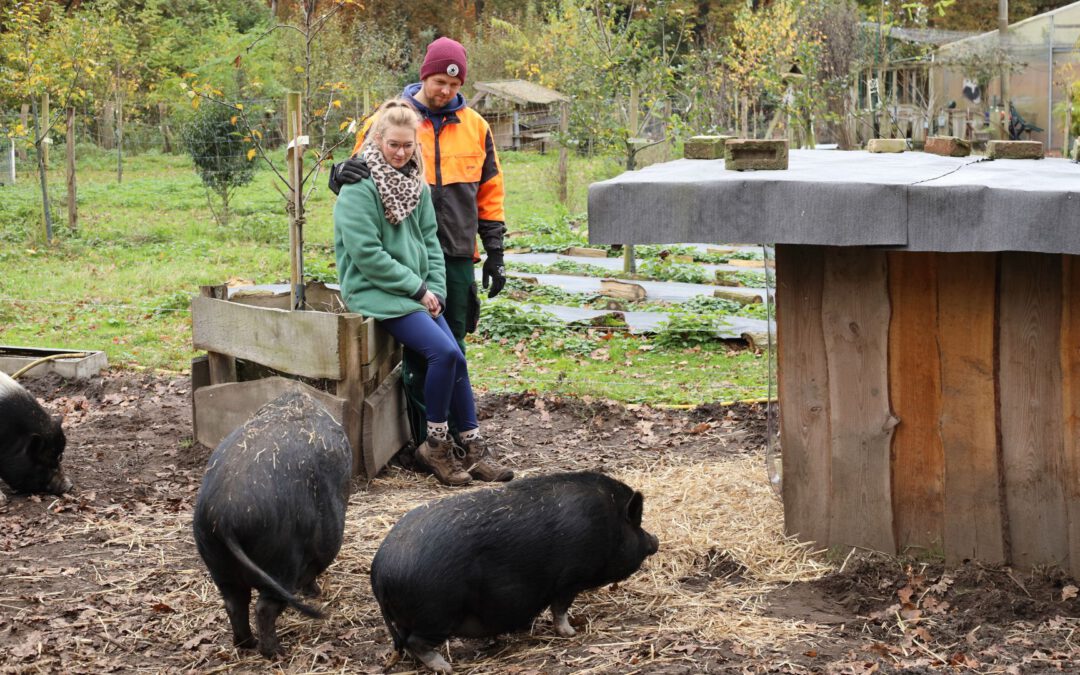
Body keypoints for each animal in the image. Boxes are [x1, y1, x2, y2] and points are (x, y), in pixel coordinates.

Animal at [190, 388, 349, 656]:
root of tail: (223, 518)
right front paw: (315, 593)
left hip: (216, 560)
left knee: (235, 603)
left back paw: (247, 644)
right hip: (282, 562)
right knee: (264, 607)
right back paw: (276, 652)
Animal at [371, 470, 656, 669]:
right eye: (637, 524)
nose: (655, 540)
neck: (609, 524)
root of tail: (380, 574)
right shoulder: (570, 579)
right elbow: (560, 608)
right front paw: (571, 633)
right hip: (436, 613)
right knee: (416, 642)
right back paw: (445, 667)